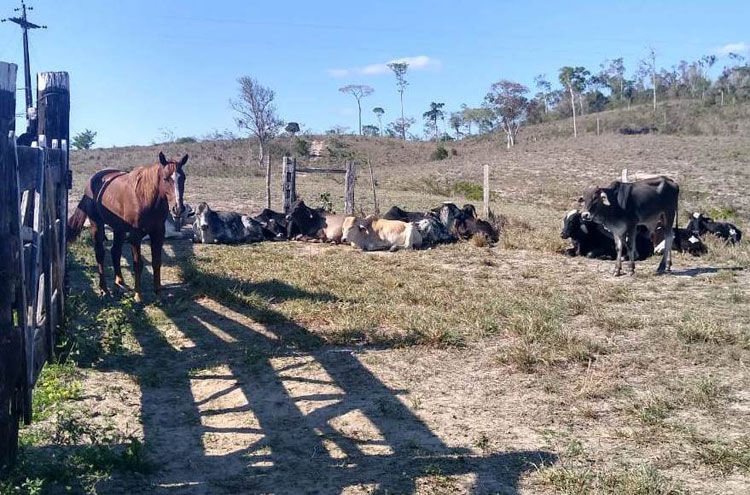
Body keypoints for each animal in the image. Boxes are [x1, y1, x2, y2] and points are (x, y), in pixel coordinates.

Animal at [68, 152, 188, 302]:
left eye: (183, 178)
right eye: (166, 178)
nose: (178, 208)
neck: (144, 197)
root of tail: (92, 180)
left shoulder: (158, 234)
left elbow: (156, 262)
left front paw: (158, 294)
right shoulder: (135, 236)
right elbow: (137, 264)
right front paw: (138, 295)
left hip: (118, 229)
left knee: (115, 252)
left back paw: (119, 283)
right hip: (97, 224)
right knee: (100, 253)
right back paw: (104, 289)